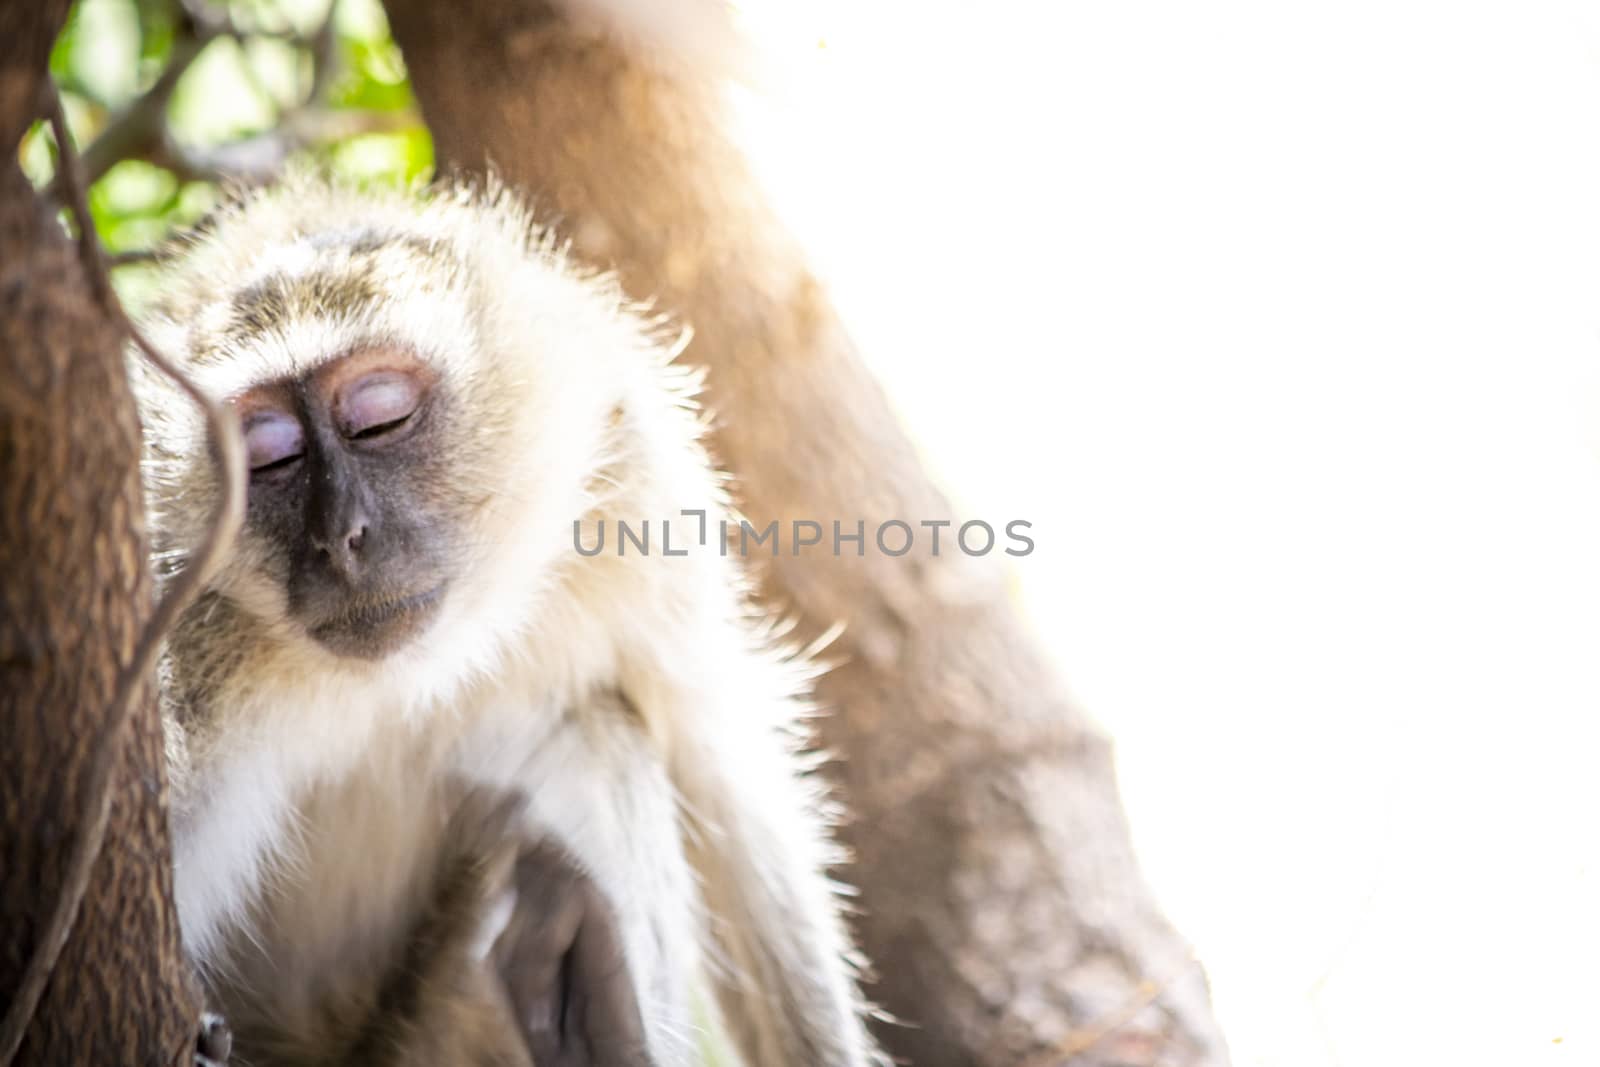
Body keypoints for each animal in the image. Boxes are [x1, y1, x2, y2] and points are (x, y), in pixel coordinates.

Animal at [140, 179, 876, 1062]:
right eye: (272, 459)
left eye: (378, 420)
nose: (341, 537)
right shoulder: (176, 636)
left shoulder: (634, 479)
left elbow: (717, 770)